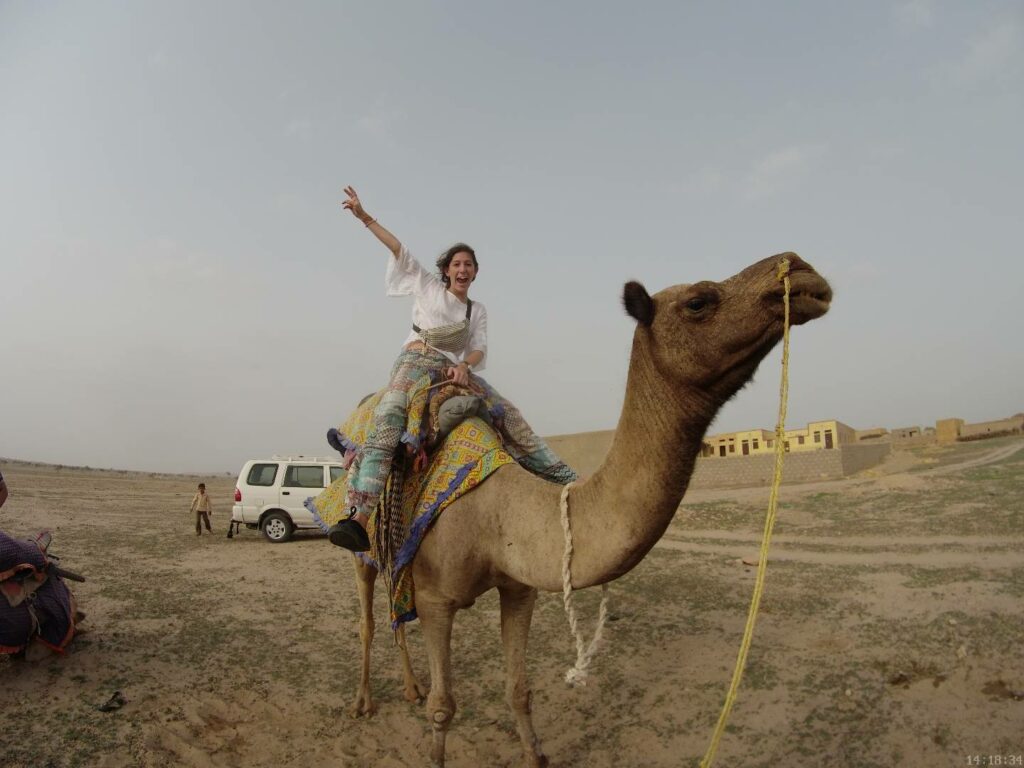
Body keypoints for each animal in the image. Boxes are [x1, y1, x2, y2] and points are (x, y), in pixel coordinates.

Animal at [344, 253, 831, 768]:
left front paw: (535, 755)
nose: (799, 268)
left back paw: (411, 688)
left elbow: (519, 689)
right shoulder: (438, 597)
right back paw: (364, 701)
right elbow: (443, 706)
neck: (496, 513)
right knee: (368, 620)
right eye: (699, 300)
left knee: (396, 619)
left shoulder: (518, 587)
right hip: (363, 550)